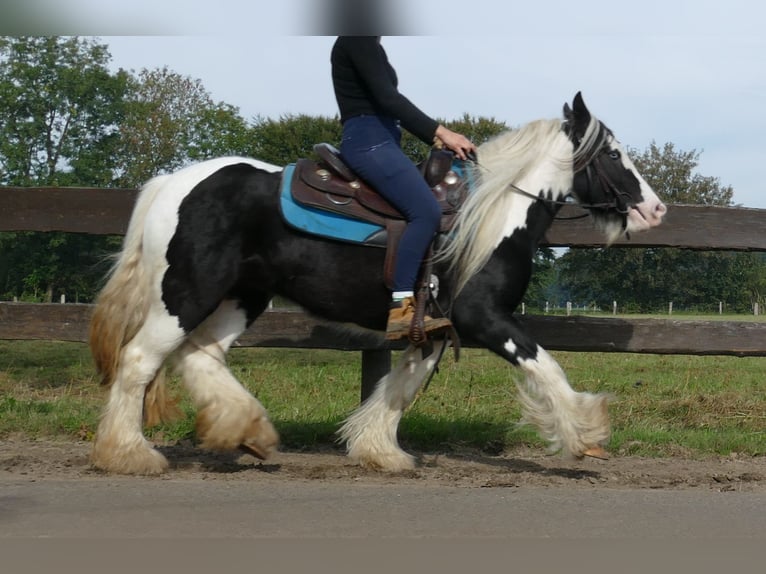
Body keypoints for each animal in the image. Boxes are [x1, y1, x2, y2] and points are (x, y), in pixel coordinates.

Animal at [88, 93, 664, 476]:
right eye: (614, 154)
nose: (655, 209)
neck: (493, 213)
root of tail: (173, 182)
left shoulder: (433, 326)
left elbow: (401, 386)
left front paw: (378, 449)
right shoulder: (483, 317)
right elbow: (545, 366)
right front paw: (586, 435)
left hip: (240, 296)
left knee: (200, 355)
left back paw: (246, 430)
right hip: (186, 293)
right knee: (140, 360)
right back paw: (129, 453)